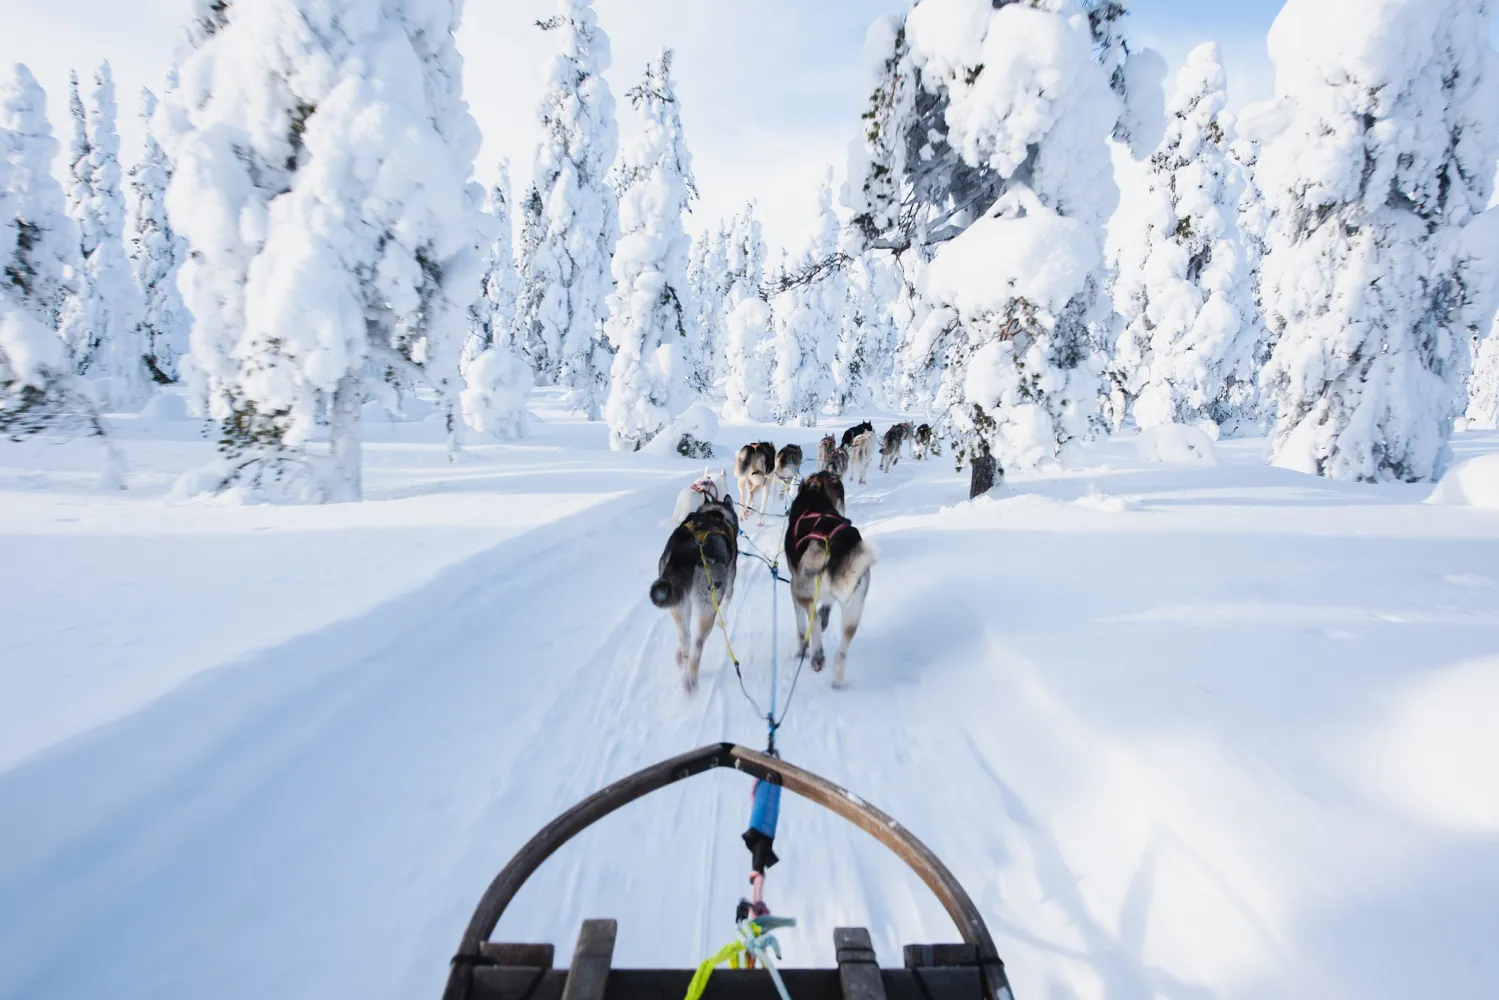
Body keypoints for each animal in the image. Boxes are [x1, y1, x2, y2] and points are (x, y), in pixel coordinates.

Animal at [647, 497, 740, 692]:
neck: (714, 512)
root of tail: (686, 549)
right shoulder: (730, 580)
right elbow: (727, 600)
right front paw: (723, 622)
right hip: (707, 606)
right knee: (697, 643)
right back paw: (691, 679)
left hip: (678, 603)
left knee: (685, 637)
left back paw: (682, 660)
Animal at [791, 473, 875, 683]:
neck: (813, 499)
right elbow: (827, 606)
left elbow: (801, 627)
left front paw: (800, 650)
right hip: (853, 611)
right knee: (842, 649)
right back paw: (837, 680)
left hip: (800, 590)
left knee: (812, 620)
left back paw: (817, 657)